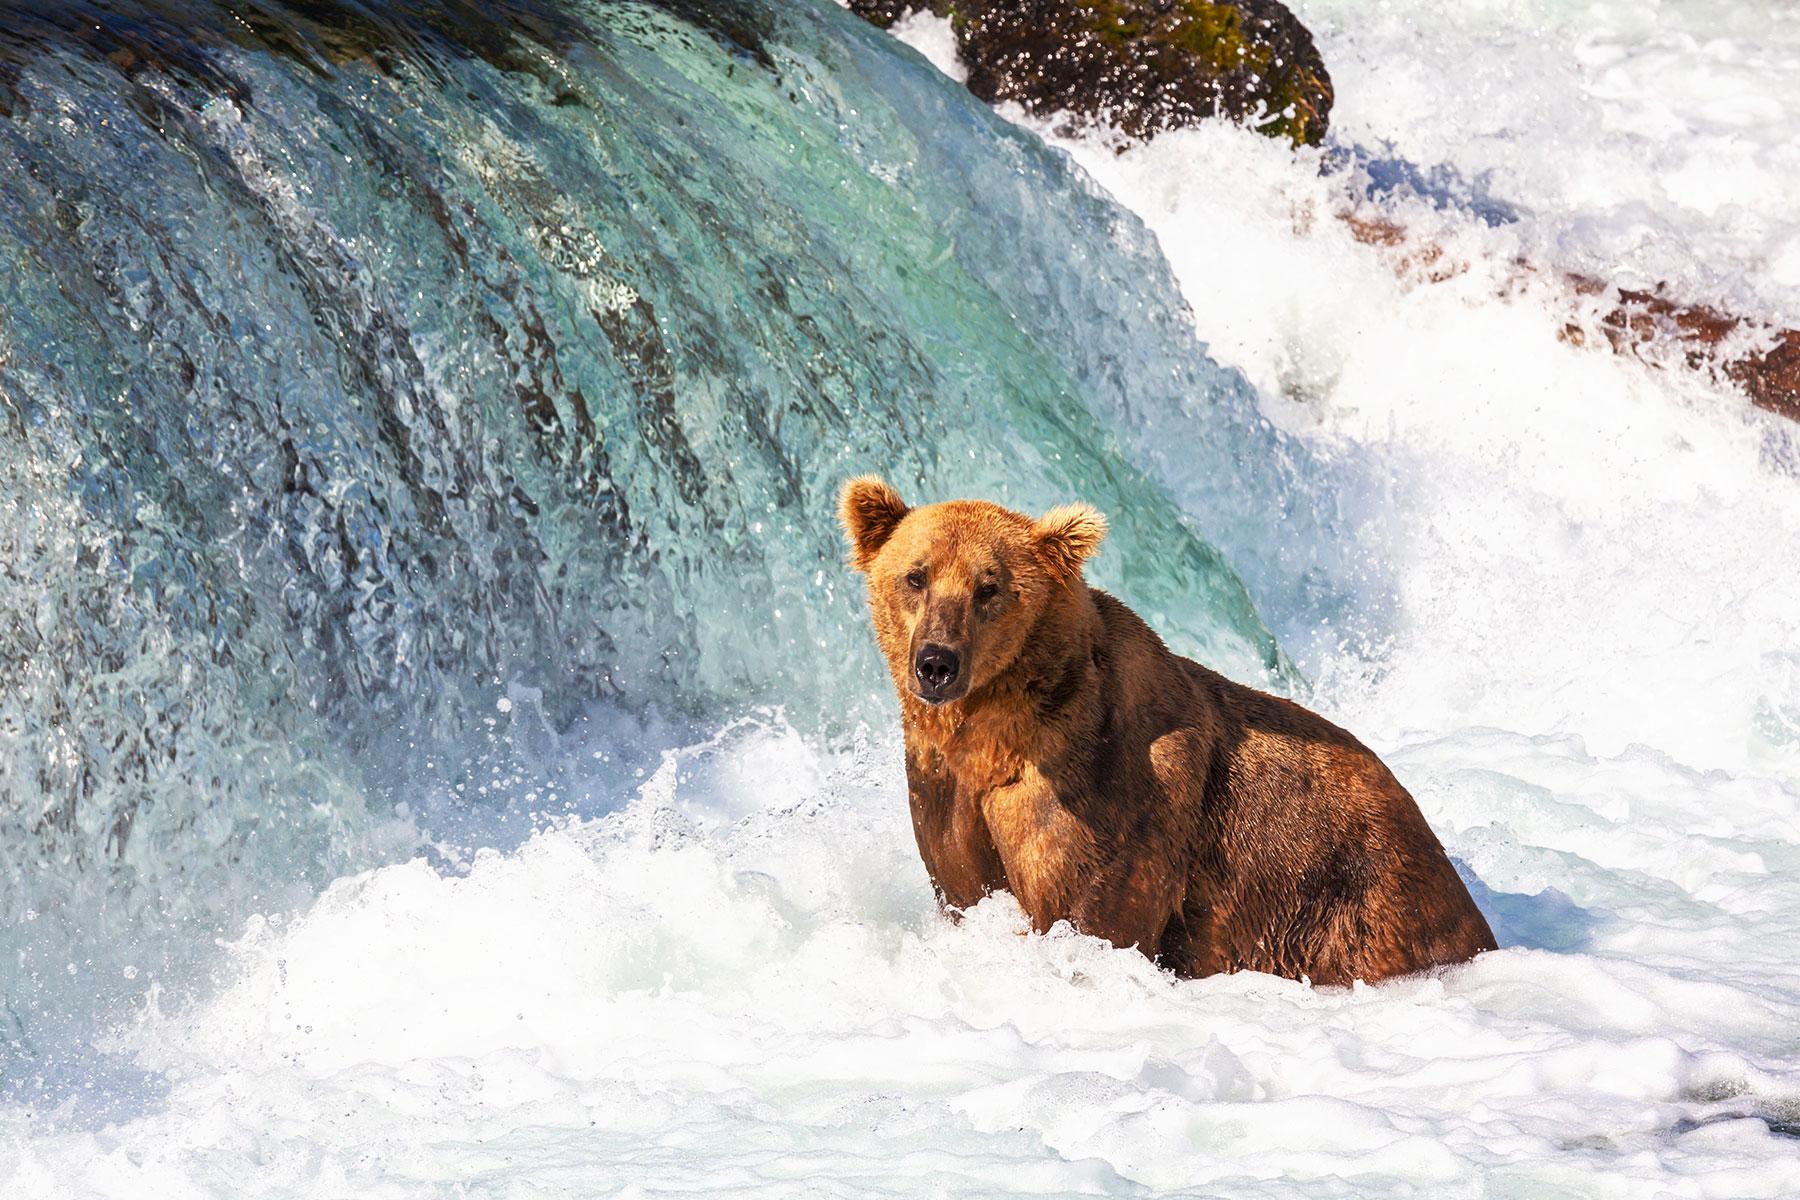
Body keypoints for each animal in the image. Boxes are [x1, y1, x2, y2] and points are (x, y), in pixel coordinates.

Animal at [840, 475, 1497, 984]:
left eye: (989, 587)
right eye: (916, 576)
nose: (937, 662)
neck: (994, 732)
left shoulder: (1110, 794)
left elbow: (1088, 913)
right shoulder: (944, 793)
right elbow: (964, 885)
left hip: (1354, 904)